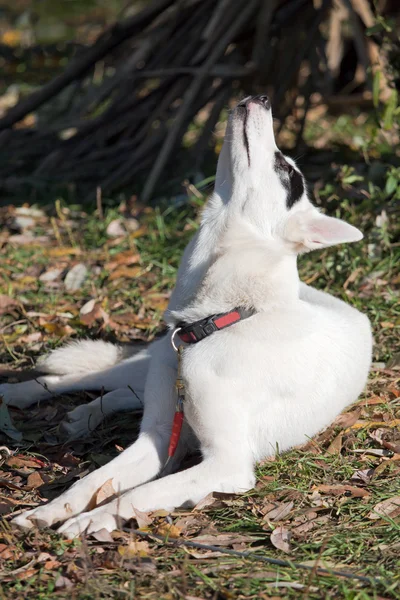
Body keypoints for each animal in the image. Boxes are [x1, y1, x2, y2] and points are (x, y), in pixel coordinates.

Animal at [3, 96, 372, 536]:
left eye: (286, 171)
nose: (262, 98)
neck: (224, 318)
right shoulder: (160, 437)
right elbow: (91, 481)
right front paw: (50, 510)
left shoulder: (223, 463)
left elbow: (137, 493)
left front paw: (88, 522)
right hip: (152, 363)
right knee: (81, 380)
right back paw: (23, 395)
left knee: (121, 392)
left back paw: (83, 414)